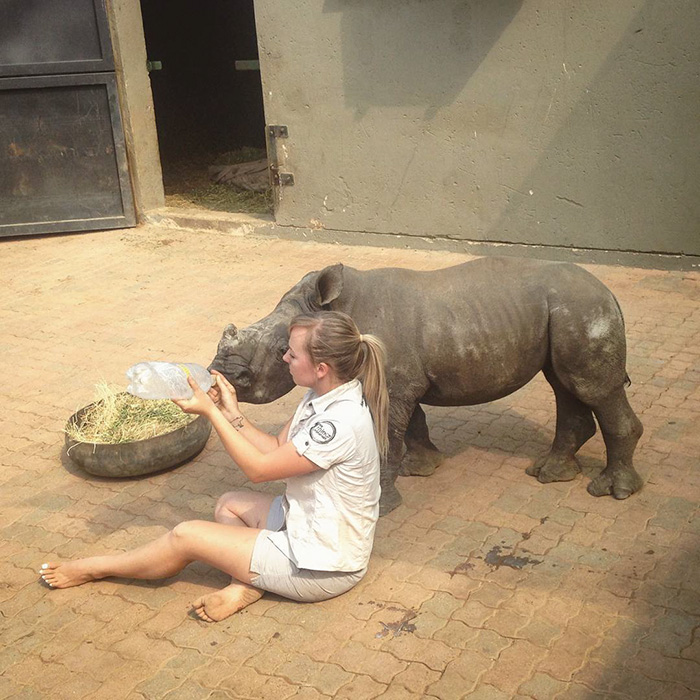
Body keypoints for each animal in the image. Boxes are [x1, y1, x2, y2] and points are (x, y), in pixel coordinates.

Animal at [209, 257, 643, 515]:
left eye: (284, 350)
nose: (221, 371)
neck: (338, 312)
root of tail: (609, 291)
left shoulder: (396, 381)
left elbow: (386, 434)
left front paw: (381, 505)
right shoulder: (401, 379)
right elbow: (410, 424)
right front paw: (423, 467)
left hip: (583, 310)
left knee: (590, 388)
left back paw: (613, 491)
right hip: (567, 312)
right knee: (564, 384)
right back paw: (550, 473)